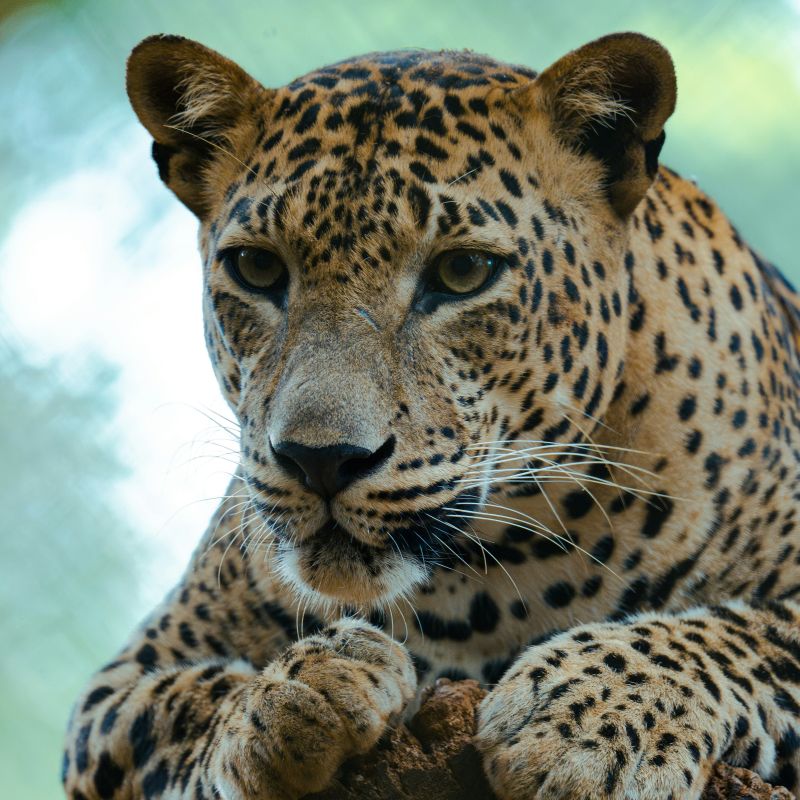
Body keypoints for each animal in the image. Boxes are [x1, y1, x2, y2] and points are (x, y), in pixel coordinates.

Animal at [62, 31, 800, 800]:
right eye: (257, 269)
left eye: (464, 272)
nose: (321, 460)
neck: (484, 589)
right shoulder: (122, 683)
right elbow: (179, 707)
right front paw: (296, 692)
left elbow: (740, 634)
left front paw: (586, 720)